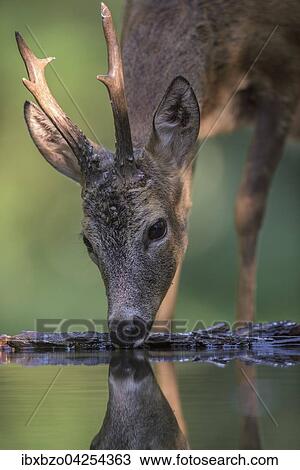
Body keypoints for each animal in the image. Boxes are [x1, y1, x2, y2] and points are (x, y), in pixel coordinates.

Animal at [15, 0, 300, 346]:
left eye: (157, 228)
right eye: (87, 241)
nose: (125, 326)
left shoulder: (283, 78)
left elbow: (248, 208)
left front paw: (245, 328)